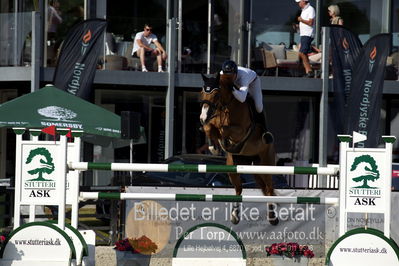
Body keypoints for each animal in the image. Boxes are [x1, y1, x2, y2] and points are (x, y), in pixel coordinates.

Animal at [202, 71, 280, 225]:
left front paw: (221, 141)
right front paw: (214, 146)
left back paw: (272, 217)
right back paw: (235, 216)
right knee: (239, 189)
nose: (202, 117)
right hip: (234, 167)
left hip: (266, 165)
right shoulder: (213, 121)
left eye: (215, 94)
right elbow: (210, 127)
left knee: (269, 189)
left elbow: (224, 129)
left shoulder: (240, 131)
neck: (227, 106)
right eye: (202, 92)